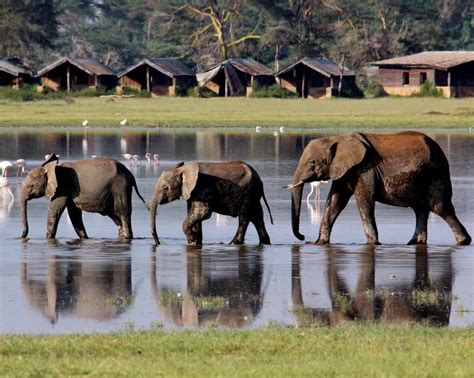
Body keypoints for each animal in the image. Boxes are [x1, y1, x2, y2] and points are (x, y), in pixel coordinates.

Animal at [20, 154, 148, 239]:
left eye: (31, 186)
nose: (23, 236)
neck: (50, 168)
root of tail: (131, 175)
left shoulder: (62, 187)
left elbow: (54, 211)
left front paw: (48, 239)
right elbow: (74, 214)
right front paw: (84, 238)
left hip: (120, 186)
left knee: (122, 211)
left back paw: (127, 237)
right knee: (115, 215)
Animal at [288, 131, 470, 247]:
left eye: (312, 162)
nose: (303, 237)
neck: (337, 138)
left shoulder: (365, 169)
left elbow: (364, 201)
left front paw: (373, 244)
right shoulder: (344, 170)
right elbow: (335, 202)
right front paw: (319, 243)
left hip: (436, 173)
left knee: (440, 208)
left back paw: (463, 241)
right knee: (421, 209)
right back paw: (415, 243)